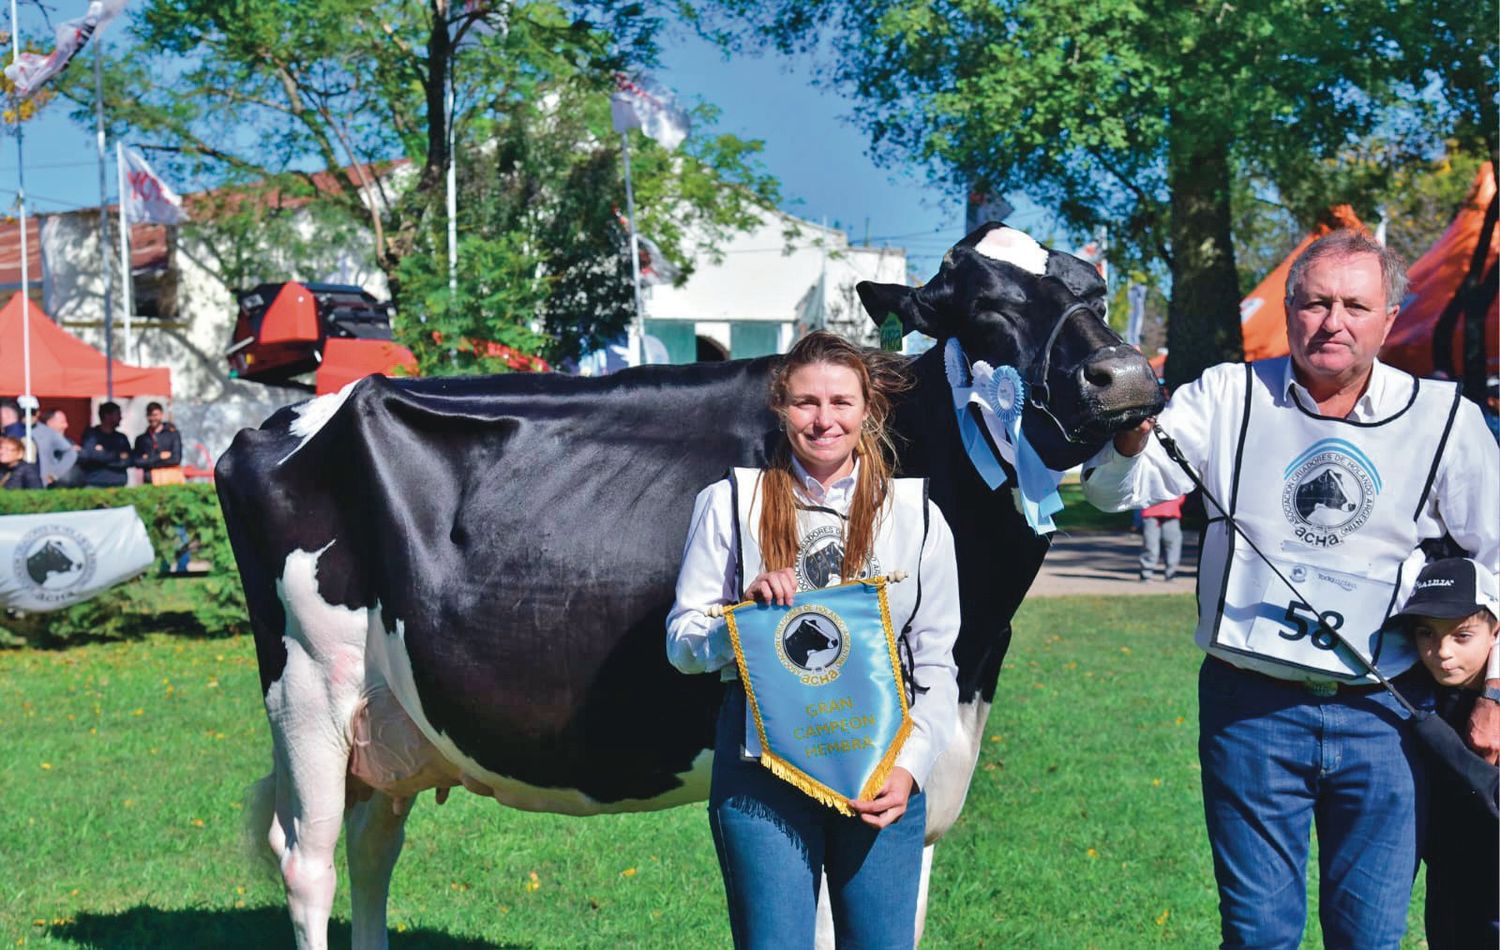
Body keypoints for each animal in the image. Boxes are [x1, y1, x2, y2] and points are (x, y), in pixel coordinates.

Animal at [219, 222, 1158, 942]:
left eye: (1095, 291)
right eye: (988, 307)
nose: (1128, 377)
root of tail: (292, 414)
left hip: (388, 714)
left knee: (373, 842)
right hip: (307, 685)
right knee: (309, 860)